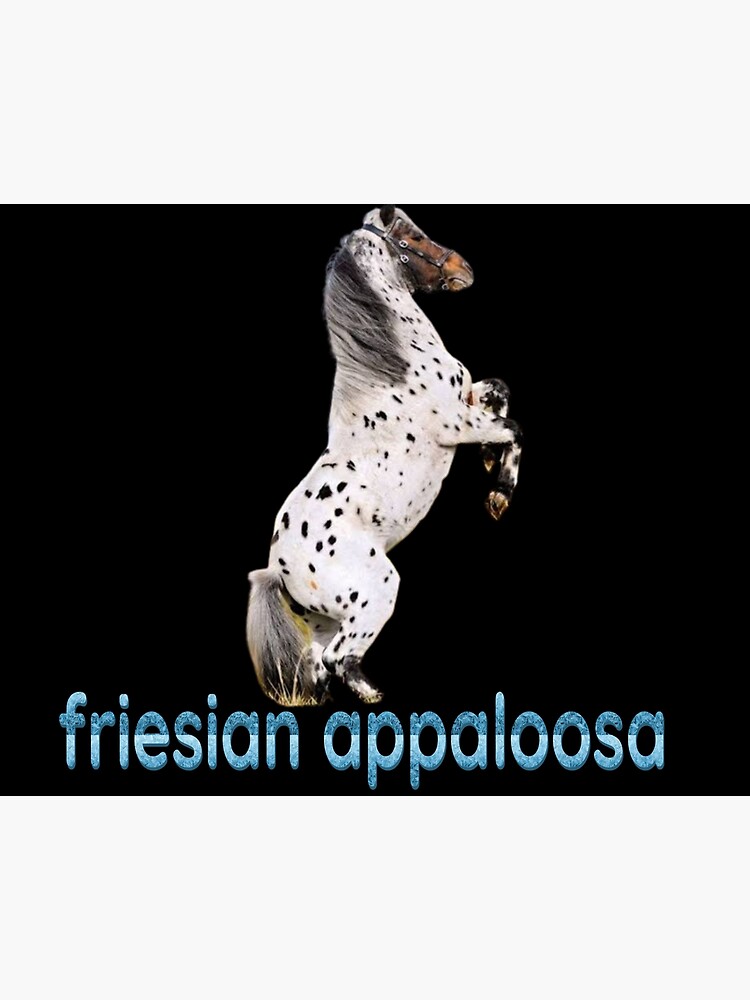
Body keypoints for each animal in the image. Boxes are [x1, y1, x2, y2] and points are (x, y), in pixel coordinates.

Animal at [247, 205, 523, 707]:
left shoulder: (467, 400)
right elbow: (512, 429)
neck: (397, 371)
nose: (463, 268)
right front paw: (498, 494)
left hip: (326, 619)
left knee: (319, 664)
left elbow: (498, 389)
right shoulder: (459, 424)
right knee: (337, 659)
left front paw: (489, 460)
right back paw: (374, 695)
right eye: (413, 236)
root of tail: (278, 568)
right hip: (374, 593)